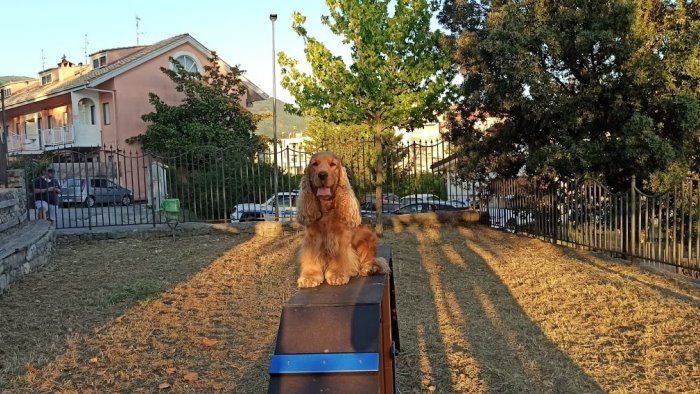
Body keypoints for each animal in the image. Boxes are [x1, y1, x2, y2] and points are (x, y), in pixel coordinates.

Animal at [296, 152, 388, 288]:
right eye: (315, 164)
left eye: (333, 164)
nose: (322, 174)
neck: (326, 208)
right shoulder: (312, 238)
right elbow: (311, 258)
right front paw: (310, 277)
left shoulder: (341, 239)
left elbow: (341, 258)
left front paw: (337, 275)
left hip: (368, 236)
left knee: (373, 260)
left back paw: (368, 269)